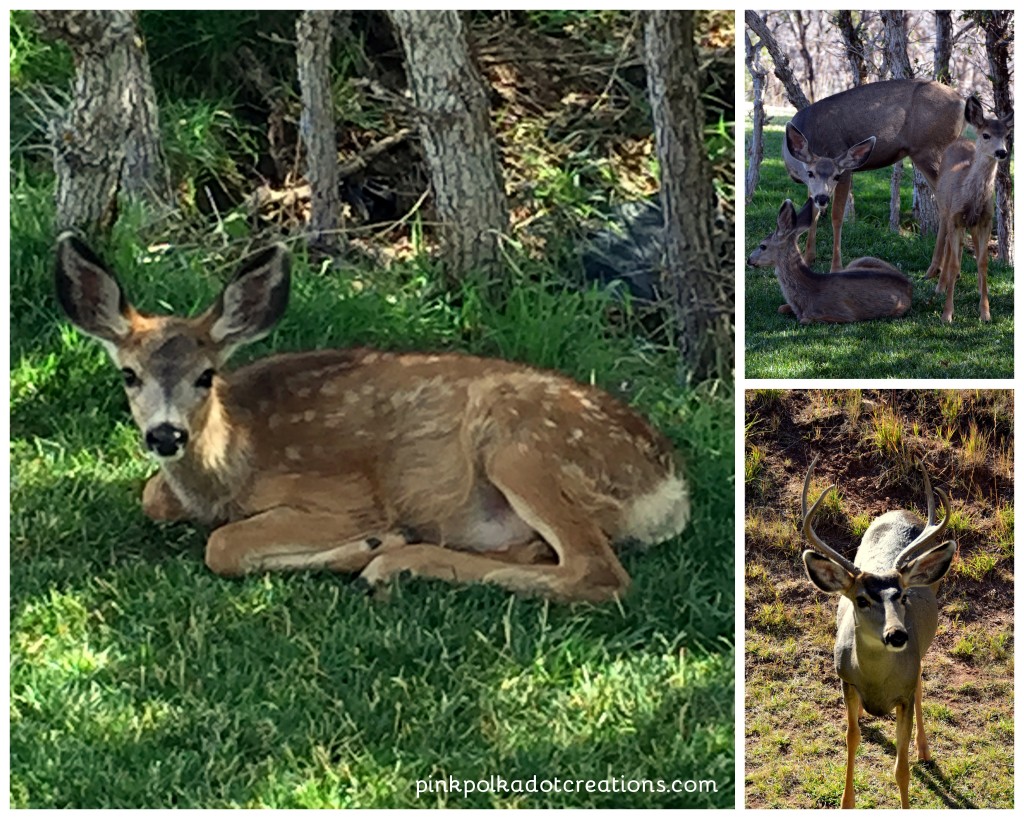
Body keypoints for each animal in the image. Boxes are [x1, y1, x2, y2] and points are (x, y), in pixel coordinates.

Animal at [51, 235, 692, 601]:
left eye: (206, 375)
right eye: (128, 375)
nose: (165, 434)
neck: (235, 459)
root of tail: (670, 489)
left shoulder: (342, 497)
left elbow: (223, 546)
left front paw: (368, 543)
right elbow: (152, 497)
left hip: (523, 442)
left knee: (597, 572)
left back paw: (395, 561)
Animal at [745, 198, 913, 323]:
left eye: (762, 246)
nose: (749, 259)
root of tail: (909, 285)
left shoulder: (844, 314)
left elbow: (804, 320)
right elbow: (780, 308)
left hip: (898, 308)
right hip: (861, 260)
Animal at [782, 77, 966, 268]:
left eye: (836, 176)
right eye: (810, 173)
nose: (823, 198)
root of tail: (962, 101)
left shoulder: (845, 168)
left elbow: (836, 217)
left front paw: (836, 266)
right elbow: (813, 213)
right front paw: (808, 258)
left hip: (930, 151)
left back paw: (939, 268)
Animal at [798, 456, 958, 810]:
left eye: (903, 596)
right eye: (861, 599)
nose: (897, 635)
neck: (876, 682)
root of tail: (900, 510)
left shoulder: (903, 695)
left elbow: (901, 768)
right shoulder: (846, 680)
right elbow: (851, 738)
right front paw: (846, 803)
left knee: (921, 681)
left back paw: (924, 749)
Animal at [925, 96, 1011, 323]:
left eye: (1007, 136)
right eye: (986, 135)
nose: (1002, 152)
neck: (969, 197)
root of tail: (961, 138)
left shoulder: (986, 220)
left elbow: (982, 262)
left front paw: (985, 312)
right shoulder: (955, 218)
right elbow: (954, 261)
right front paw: (947, 314)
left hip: (969, 224)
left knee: (964, 246)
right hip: (944, 210)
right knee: (945, 242)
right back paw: (940, 284)